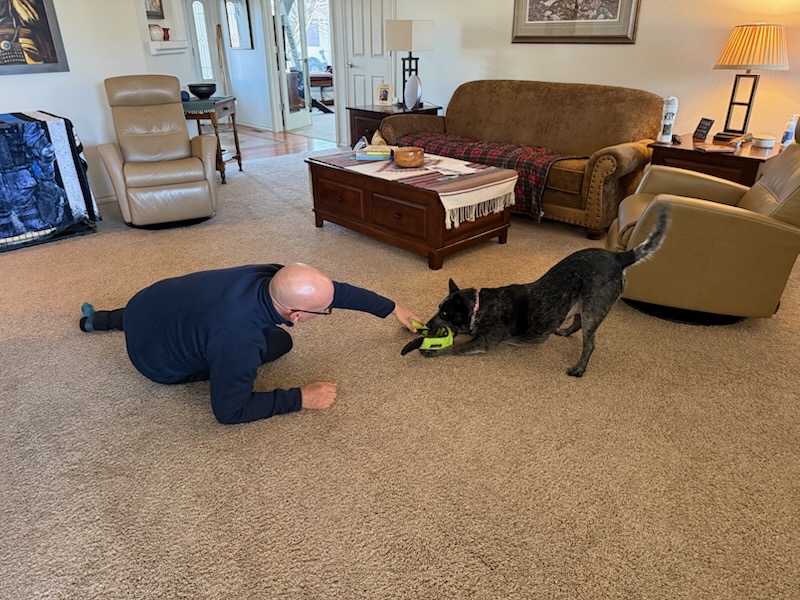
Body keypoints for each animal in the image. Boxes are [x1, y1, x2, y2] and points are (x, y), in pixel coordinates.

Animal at [422, 207, 670, 377]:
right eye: (438, 309)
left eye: (444, 314)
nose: (426, 325)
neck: (479, 307)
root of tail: (618, 257)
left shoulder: (482, 342)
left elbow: (453, 348)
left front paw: (433, 352)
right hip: (581, 301)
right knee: (577, 322)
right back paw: (565, 331)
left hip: (593, 306)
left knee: (589, 343)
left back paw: (579, 368)